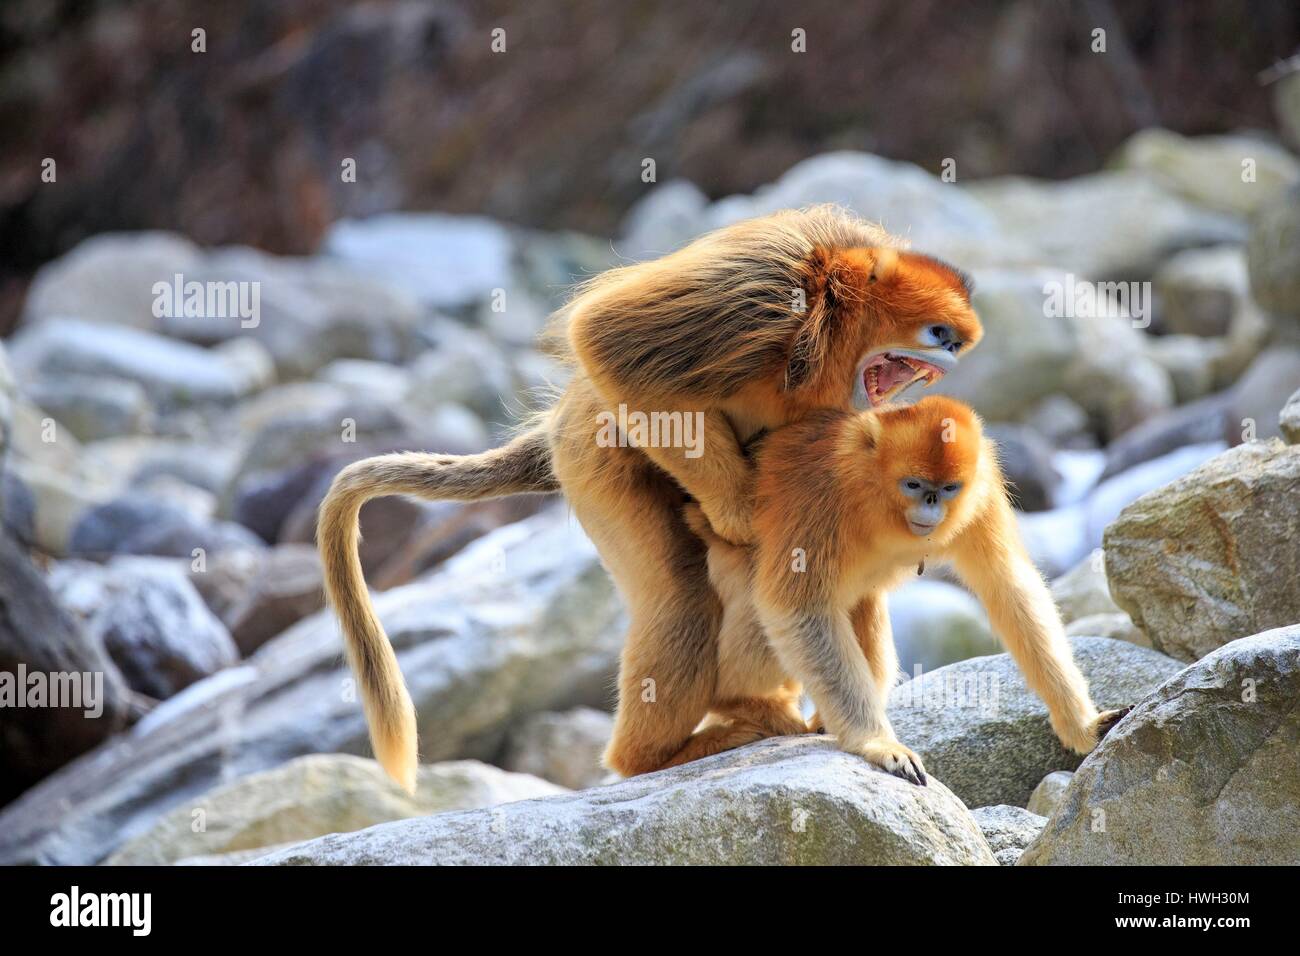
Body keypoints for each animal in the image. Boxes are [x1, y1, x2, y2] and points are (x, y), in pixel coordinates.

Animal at [317, 205, 984, 791]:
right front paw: (738, 512)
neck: (831, 308)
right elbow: (603, 334)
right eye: (939, 334)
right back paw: (656, 755)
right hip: (595, 457)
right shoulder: (769, 281)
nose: (953, 355)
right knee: (683, 597)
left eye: (955, 342)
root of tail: (563, 418)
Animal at [681, 395, 1131, 784]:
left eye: (948, 488)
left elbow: (1008, 584)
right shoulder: (821, 493)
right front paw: (877, 743)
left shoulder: (981, 488)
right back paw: (742, 705)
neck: (874, 493)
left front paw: (1081, 724)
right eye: (913, 485)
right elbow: (796, 608)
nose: (932, 505)